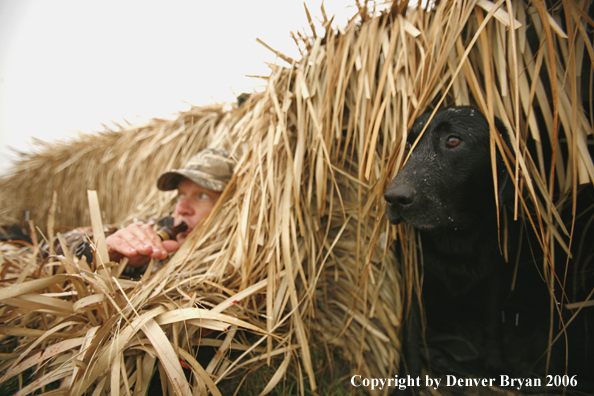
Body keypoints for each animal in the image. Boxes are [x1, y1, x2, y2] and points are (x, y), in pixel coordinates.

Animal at [382, 106, 588, 394]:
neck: (457, 237)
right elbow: (410, 330)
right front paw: (409, 378)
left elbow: (493, 324)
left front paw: (495, 368)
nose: (394, 198)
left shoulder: (495, 277)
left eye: (453, 141)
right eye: (410, 144)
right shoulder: (413, 276)